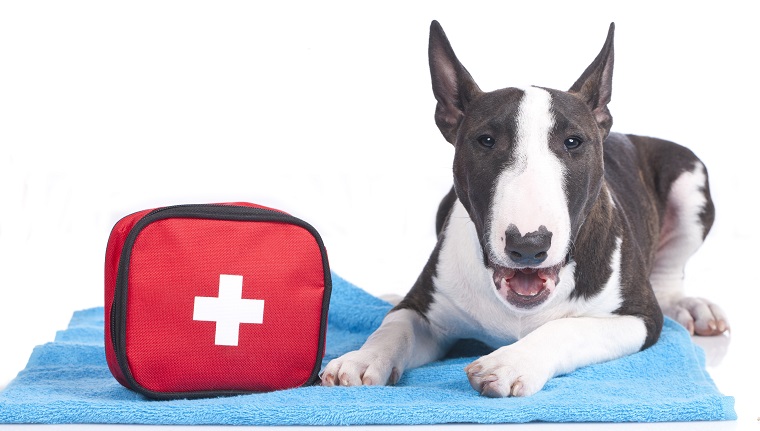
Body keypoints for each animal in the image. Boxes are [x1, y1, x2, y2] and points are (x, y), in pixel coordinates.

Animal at [318, 21, 728, 398]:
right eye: (486, 140)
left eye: (573, 142)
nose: (528, 247)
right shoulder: (427, 308)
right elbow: (396, 325)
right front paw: (362, 358)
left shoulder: (640, 318)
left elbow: (568, 327)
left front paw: (510, 362)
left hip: (690, 177)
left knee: (670, 275)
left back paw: (692, 308)